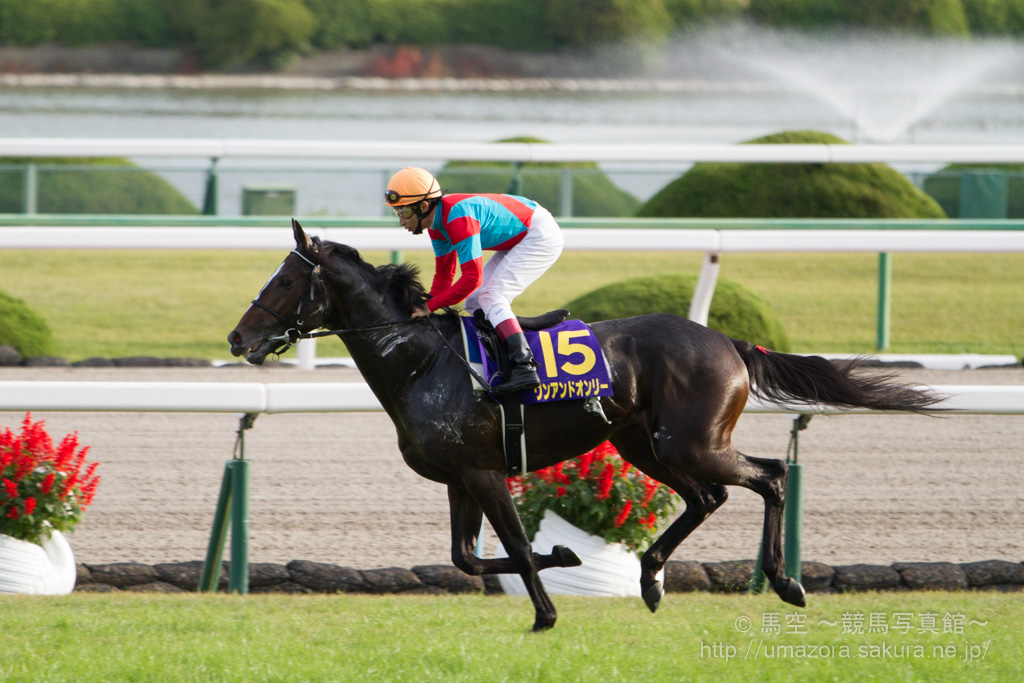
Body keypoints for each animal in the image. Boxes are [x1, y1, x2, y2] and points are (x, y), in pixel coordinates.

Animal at [228, 222, 937, 634]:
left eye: (286, 280)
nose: (237, 338)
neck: (424, 360)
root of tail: (730, 341)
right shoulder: (459, 476)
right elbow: (465, 557)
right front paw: (567, 558)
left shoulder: (484, 470)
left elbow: (513, 547)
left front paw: (546, 612)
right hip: (641, 443)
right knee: (708, 497)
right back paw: (650, 579)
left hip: (692, 442)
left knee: (768, 476)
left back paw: (786, 583)